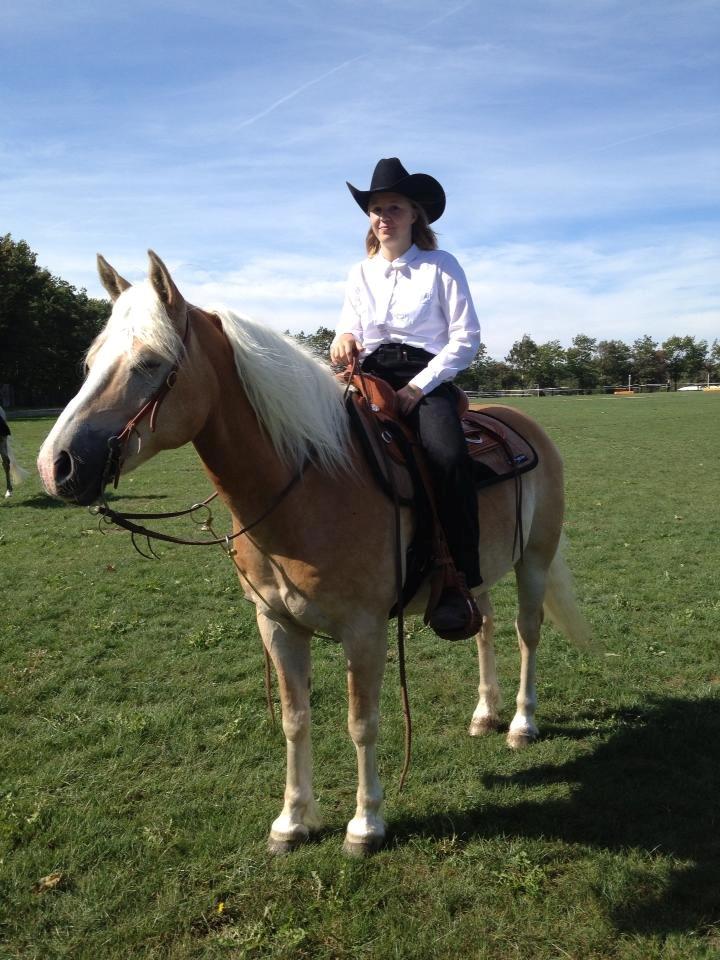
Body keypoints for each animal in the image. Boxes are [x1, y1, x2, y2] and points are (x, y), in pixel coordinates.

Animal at [36, 249, 592, 856]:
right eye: (91, 362)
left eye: (149, 362)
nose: (56, 464)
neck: (310, 483)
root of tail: (522, 421)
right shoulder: (277, 623)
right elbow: (295, 718)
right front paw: (292, 820)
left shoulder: (364, 629)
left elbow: (362, 723)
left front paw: (365, 824)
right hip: (474, 574)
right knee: (485, 627)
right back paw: (485, 713)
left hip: (533, 560)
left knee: (526, 631)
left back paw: (520, 723)